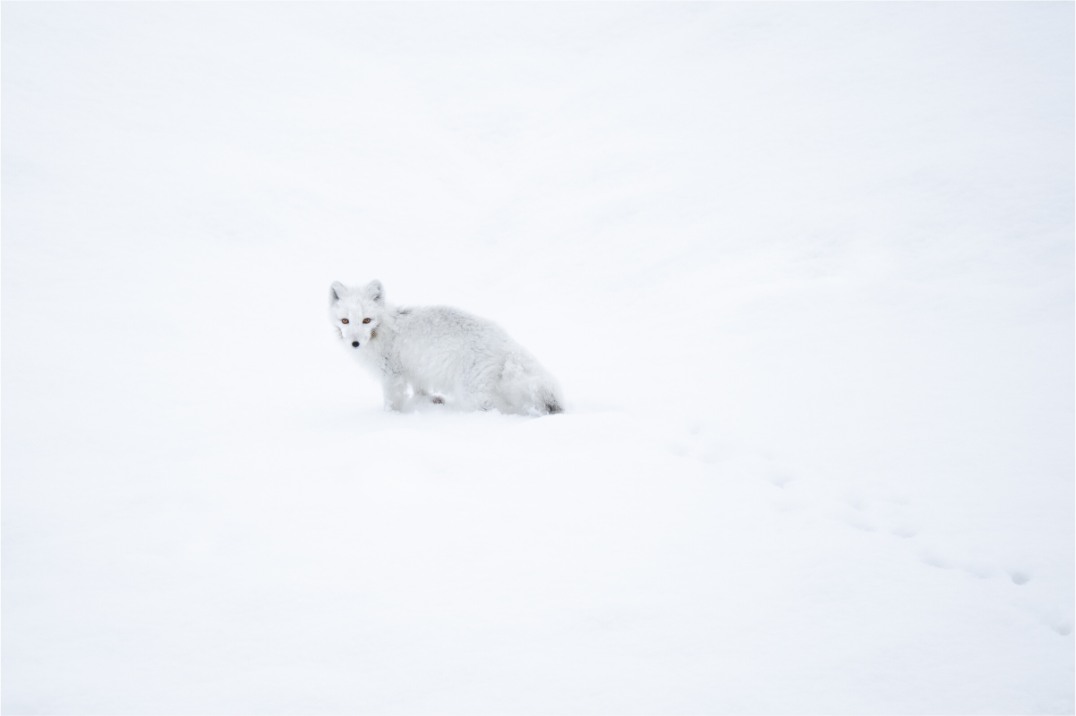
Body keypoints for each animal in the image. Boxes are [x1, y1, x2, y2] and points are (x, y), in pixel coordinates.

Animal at [329, 280, 564, 415]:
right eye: (345, 321)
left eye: (366, 320)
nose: (355, 343)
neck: (384, 328)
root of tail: (504, 340)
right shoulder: (416, 370)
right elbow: (420, 389)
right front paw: (428, 401)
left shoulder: (392, 375)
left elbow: (392, 401)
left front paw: (390, 418)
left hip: (472, 393)